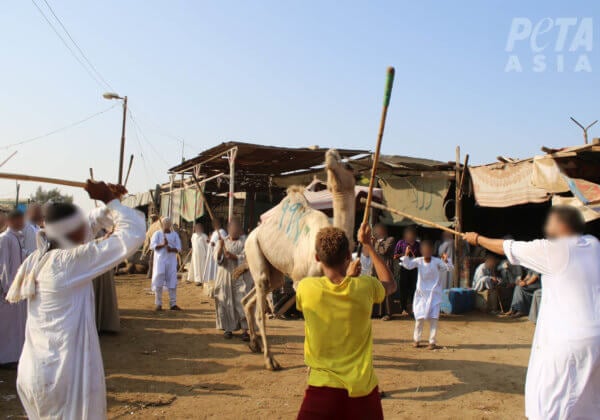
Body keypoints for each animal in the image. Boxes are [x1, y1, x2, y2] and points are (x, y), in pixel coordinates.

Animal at [239, 148, 354, 370]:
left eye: (349, 165)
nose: (330, 154)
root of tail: (252, 232)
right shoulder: (301, 280)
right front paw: (311, 366)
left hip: (274, 272)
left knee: (251, 298)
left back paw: (254, 344)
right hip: (253, 250)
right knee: (260, 305)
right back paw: (270, 360)